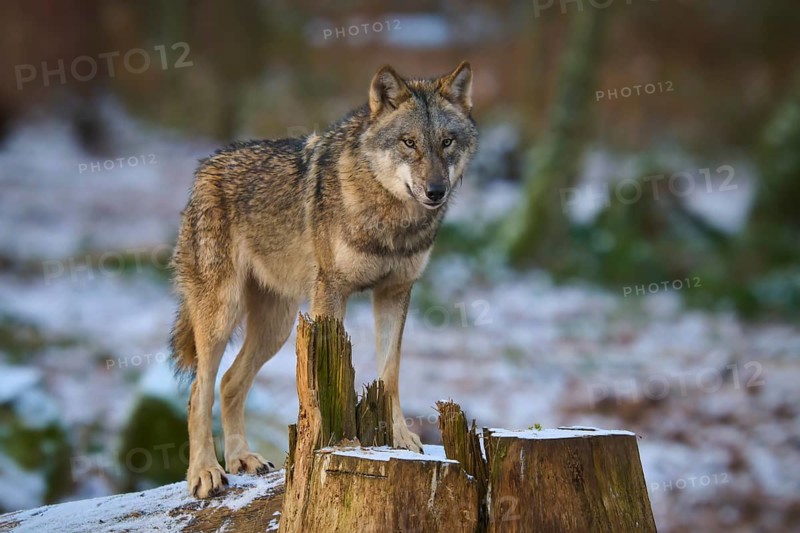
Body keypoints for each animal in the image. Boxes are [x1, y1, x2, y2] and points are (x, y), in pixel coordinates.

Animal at [169, 62, 478, 498]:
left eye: (447, 142)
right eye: (409, 143)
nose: (436, 191)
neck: (390, 219)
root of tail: (205, 168)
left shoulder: (395, 292)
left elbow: (390, 373)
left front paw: (400, 437)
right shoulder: (331, 293)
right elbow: (322, 383)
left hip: (277, 327)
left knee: (229, 382)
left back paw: (242, 459)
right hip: (221, 315)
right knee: (200, 391)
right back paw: (205, 472)